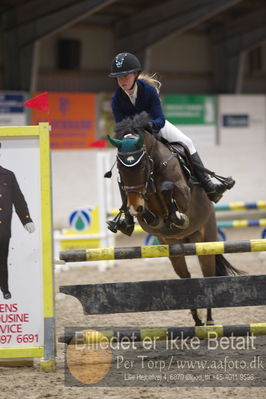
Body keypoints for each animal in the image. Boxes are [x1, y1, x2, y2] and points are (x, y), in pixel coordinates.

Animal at [107, 112, 242, 328]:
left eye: (142, 165)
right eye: (120, 167)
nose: (134, 207)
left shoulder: (183, 194)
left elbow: (167, 188)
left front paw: (178, 217)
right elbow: (149, 213)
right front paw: (136, 216)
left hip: (206, 242)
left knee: (208, 275)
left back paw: (209, 320)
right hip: (174, 250)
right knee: (185, 278)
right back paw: (197, 320)